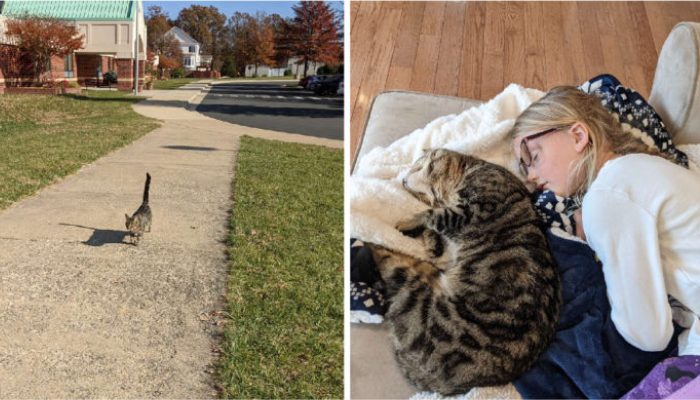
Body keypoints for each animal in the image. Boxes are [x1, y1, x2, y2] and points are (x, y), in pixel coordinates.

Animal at [366, 148, 556, 396]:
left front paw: (412, 222)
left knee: (390, 261)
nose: (404, 181)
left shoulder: (474, 209)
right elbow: (434, 225)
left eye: (425, 167)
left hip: (416, 295)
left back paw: (372, 240)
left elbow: (432, 214)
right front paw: (430, 240)